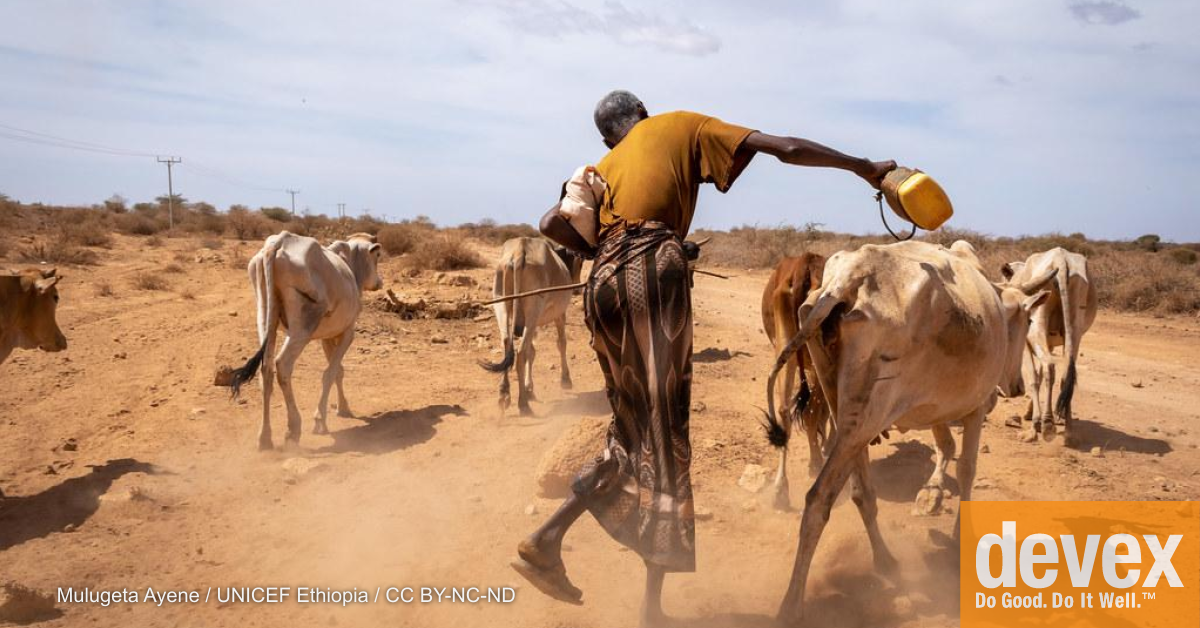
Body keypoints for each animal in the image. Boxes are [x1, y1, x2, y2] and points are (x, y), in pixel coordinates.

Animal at [229, 232, 384, 449]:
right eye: (377, 255)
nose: (380, 282)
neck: (350, 266)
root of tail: (277, 243)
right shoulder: (347, 333)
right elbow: (330, 373)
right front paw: (320, 420)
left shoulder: (327, 337)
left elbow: (338, 372)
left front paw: (343, 408)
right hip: (302, 327)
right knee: (282, 365)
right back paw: (293, 429)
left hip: (265, 317)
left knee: (266, 369)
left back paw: (265, 437)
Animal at [482, 238, 585, 415]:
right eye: (579, 262)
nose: (577, 288)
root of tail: (519, 251)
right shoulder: (559, 314)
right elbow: (561, 343)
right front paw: (565, 380)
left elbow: (533, 351)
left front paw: (529, 388)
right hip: (534, 308)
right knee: (521, 352)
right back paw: (523, 404)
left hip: (500, 303)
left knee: (507, 345)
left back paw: (504, 394)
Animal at [758, 252, 825, 511]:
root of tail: (802, 267)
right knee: (811, 410)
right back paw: (816, 464)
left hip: (785, 347)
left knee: (784, 409)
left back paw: (780, 490)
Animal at [993, 244, 1099, 441]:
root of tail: (1061, 259)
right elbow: (1043, 376)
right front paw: (1031, 413)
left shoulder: (1025, 342)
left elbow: (1035, 377)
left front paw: (1035, 419)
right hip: (1075, 330)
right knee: (1066, 373)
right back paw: (1068, 429)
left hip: (1039, 324)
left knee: (1049, 365)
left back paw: (1047, 424)